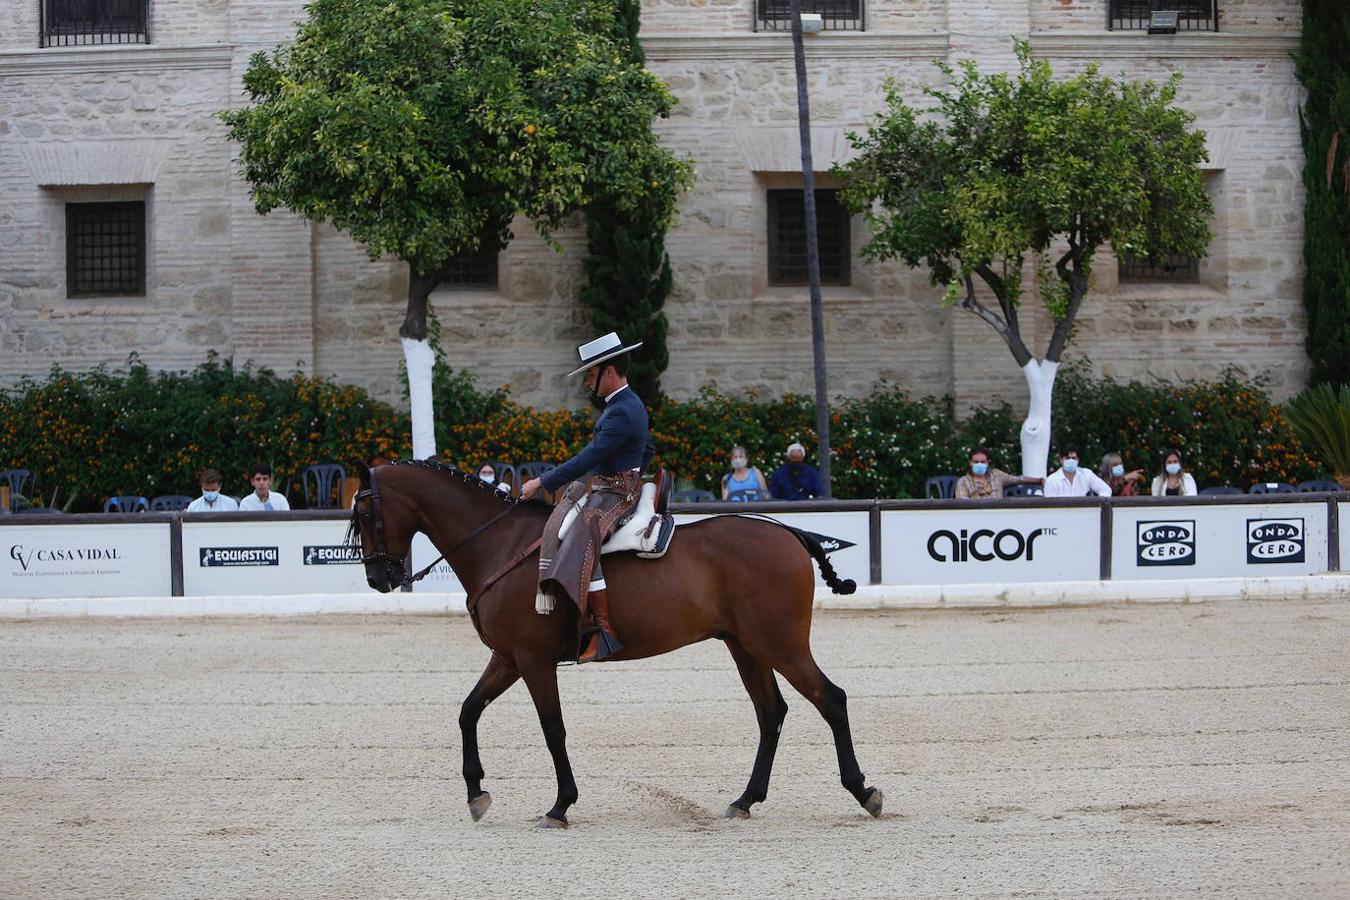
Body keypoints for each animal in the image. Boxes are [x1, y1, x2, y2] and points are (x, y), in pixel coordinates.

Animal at [345, 461, 885, 825]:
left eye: (367, 512)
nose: (377, 578)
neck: (500, 546)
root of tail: (788, 532)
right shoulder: (508, 658)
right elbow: (468, 711)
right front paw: (476, 793)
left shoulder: (532, 661)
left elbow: (553, 729)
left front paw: (560, 804)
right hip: (746, 647)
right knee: (771, 713)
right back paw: (745, 799)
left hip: (780, 644)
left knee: (830, 699)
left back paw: (863, 791)